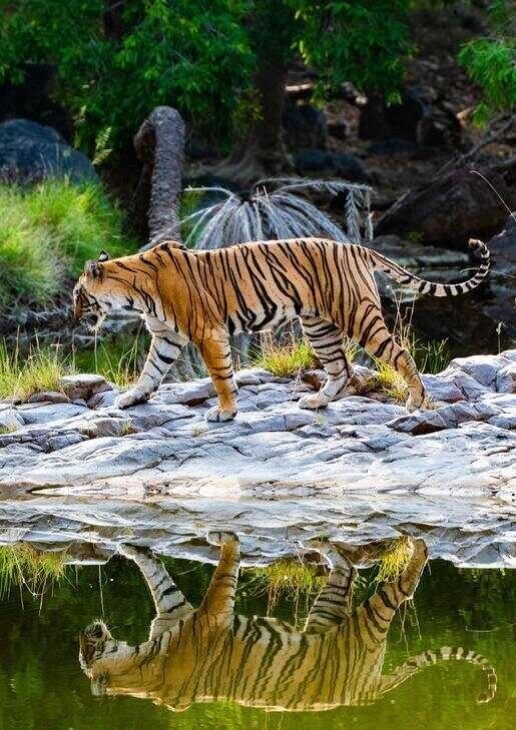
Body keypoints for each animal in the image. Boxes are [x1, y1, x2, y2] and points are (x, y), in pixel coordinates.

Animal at [72, 237, 490, 421]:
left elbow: (220, 376)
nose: (72, 314)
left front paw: (225, 411)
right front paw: (131, 399)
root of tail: (356, 247)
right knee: (342, 368)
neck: (133, 292)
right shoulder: (166, 337)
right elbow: (150, 371)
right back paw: (317, 401)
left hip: (357, 314)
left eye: (79, 294)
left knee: (399, 353)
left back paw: (416, 402)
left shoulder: (207, 333)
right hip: (318, 325)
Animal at [79, 534, 497, 712]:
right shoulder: (195, 612)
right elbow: (195, 574)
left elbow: (171, 576)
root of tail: (367, 693)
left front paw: (132, 547)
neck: (138, 662)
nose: (88, 629)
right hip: (345, 618)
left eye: (84, 647)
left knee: (377, 576)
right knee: (370, 576)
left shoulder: (191, 612)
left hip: (347, 616)